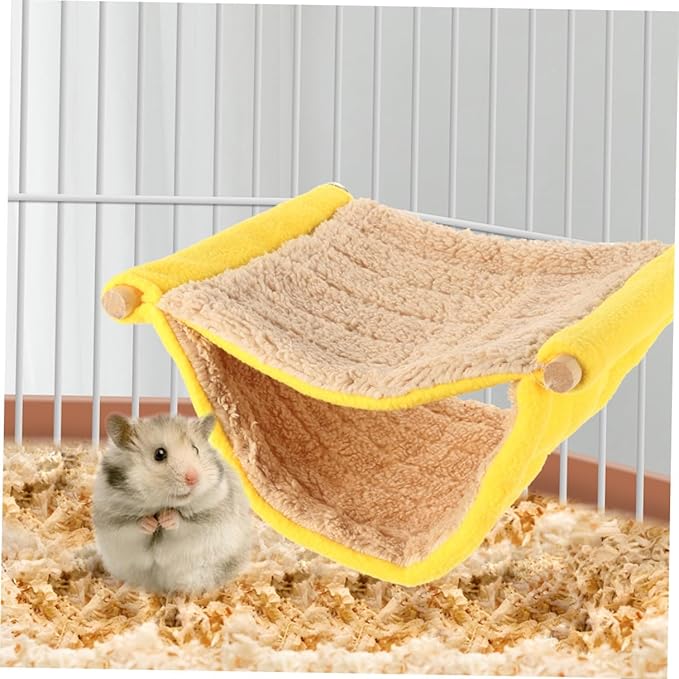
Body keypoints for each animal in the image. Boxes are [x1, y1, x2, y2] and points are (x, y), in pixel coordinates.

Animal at [92, 412, 251, 595]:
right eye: (159, 454)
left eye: (195, 449)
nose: (193, 478)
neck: (160, 505)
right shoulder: (113, 520)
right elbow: (133, 525)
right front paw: (151, 523)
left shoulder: (208, 518)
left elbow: (183, 522)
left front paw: (166, 519)